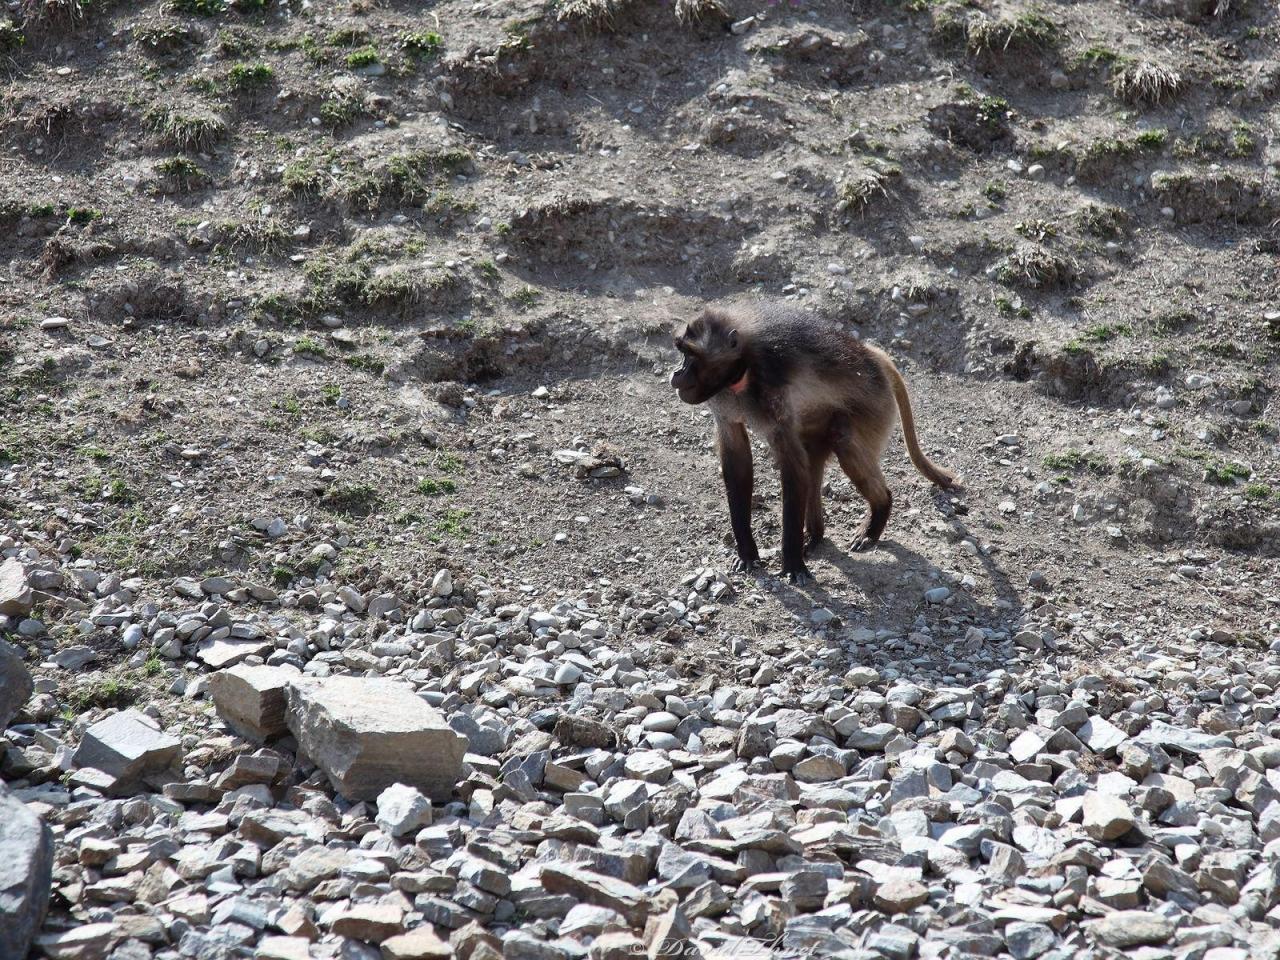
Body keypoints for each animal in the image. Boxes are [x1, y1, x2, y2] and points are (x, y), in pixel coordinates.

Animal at [670, 304, 952, 586]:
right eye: (682, 352)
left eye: (690, 355)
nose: (676, 373)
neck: (745, 370)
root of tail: (871, 355)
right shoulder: (724, 401)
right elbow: (738, 460)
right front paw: (748, 554)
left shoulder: (775, 398)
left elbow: (793, 468)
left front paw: (793, 565)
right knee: (813, 466)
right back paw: (815, 535)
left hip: (875, 407)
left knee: (842, 439)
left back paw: (877, 515)